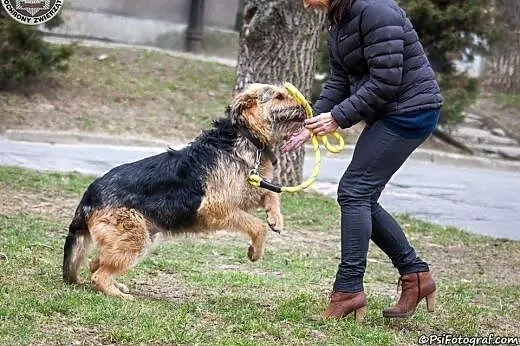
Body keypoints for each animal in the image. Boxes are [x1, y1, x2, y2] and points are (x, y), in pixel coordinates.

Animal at [62, 82, 306, 298]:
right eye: (279, 97)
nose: (307, 106)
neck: (244, 135)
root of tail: (88, 197)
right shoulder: (219, 207)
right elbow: (257, 226)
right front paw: (256, 251)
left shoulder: (246, 191)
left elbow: (270, 192)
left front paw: (275, 218)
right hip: (134, 239)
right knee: (99, 274)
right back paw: (118, 295)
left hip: (140, 238)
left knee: (95, 264)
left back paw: (116, 286)